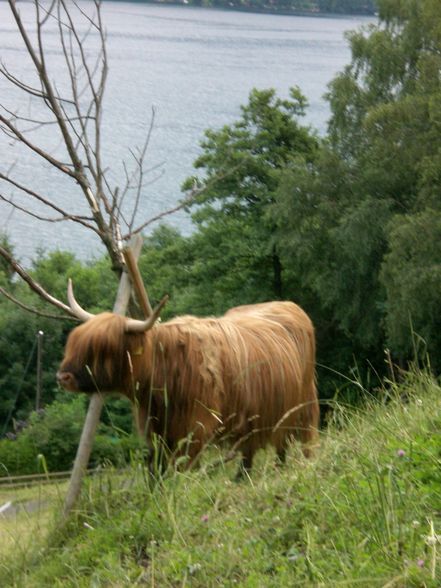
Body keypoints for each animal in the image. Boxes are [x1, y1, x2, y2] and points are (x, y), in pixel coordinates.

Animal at [57, 288, 320, 476]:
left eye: (102, 348)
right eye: (74, 342)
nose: (63, 377)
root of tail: (288, 304)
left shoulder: (196, 426)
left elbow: (183, 466)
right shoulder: (157, 431)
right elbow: (156, 470)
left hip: (301, 404)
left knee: (297, 439)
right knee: (256, 448)